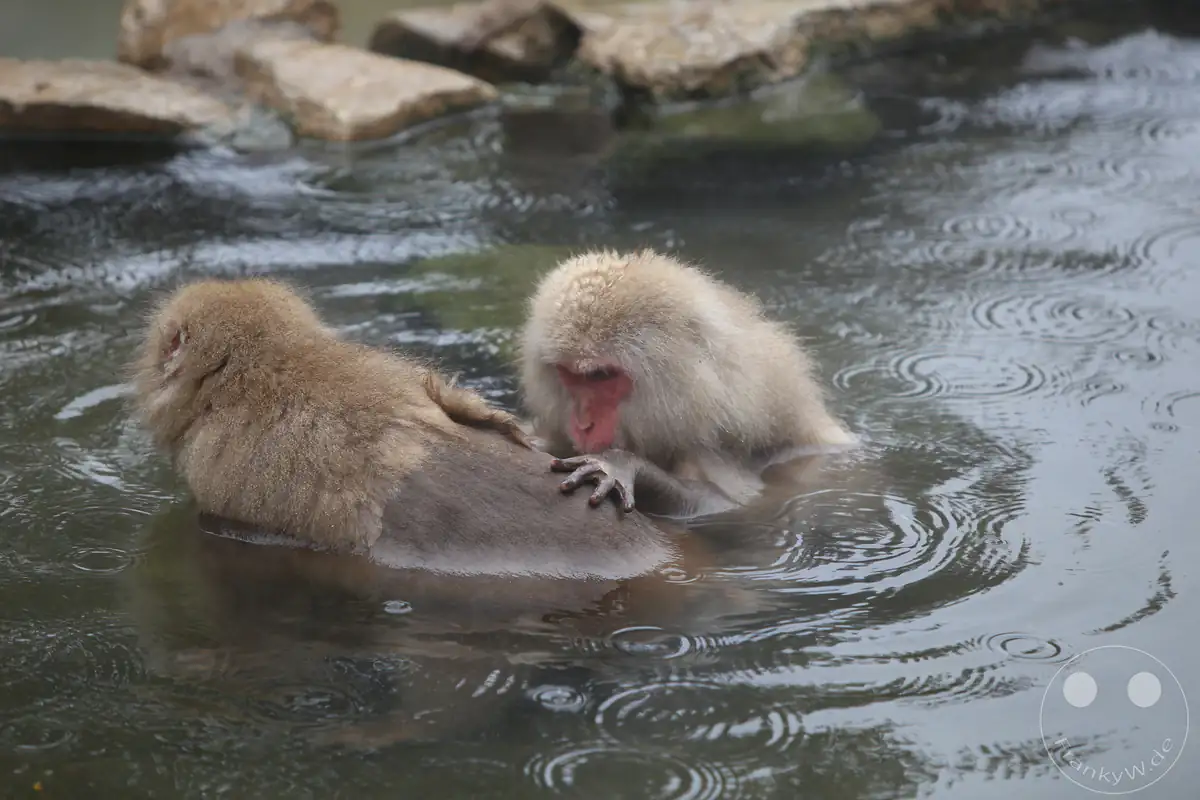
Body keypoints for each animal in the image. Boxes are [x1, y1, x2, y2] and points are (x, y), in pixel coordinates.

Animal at [519, 249, 857, 519]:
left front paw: (620, 465)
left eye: (600, 376)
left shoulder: (713, 445)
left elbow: (729, 506)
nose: (583, 424)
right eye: (571, 375)